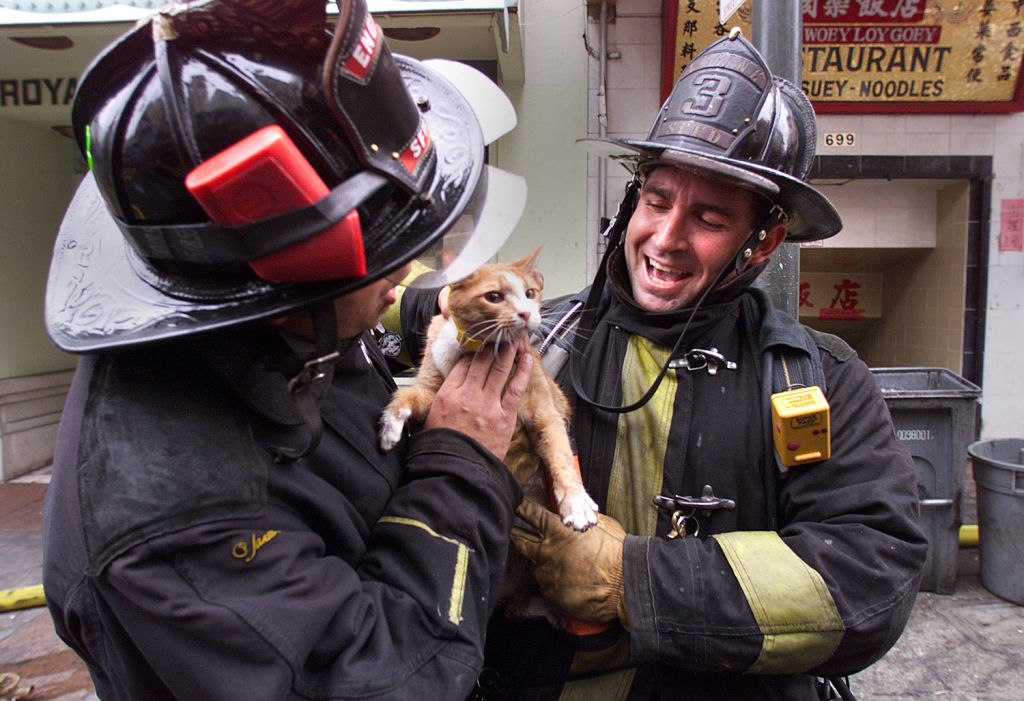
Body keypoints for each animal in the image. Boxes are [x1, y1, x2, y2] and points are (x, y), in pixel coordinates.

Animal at [380, 248, 598, 528]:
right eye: (494, 297)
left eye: (530, 293)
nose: (526, 314)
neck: (475, 349)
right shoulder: (432, 393)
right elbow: (406, 393)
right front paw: (389, 429)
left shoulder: (545, 412)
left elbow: (560, 453)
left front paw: (576, 502)